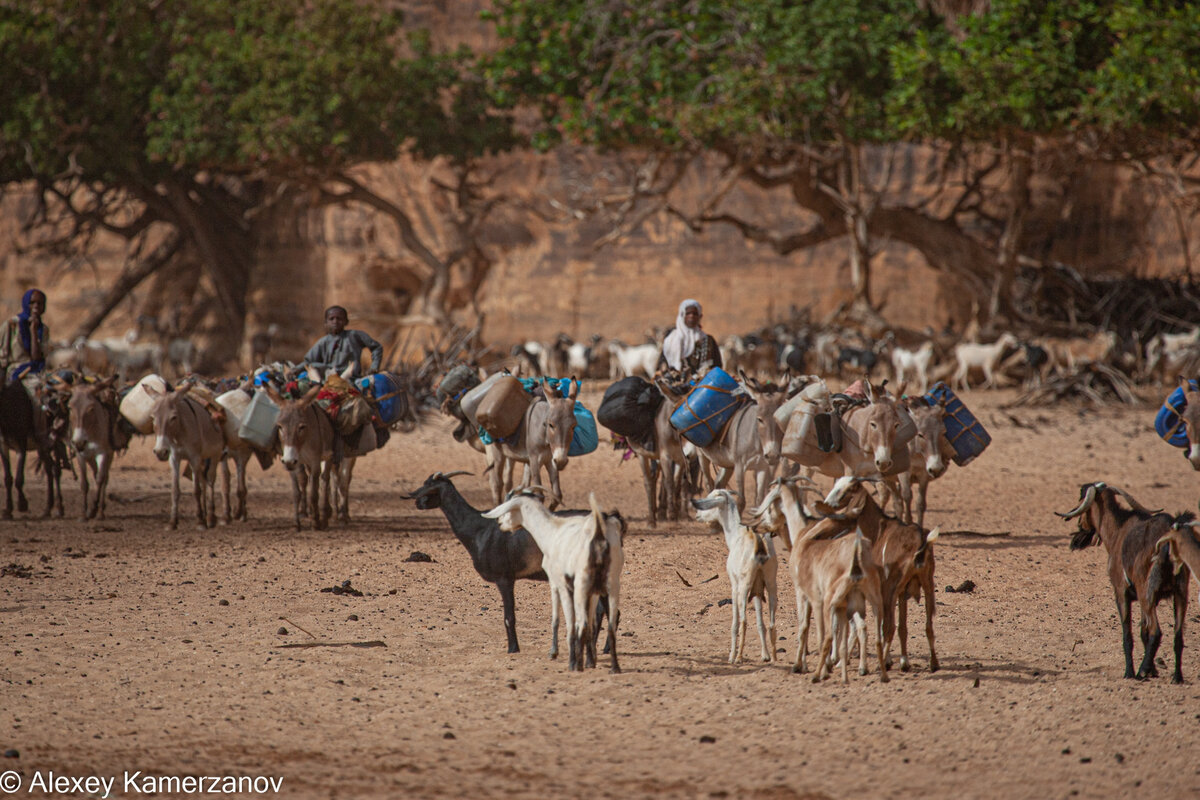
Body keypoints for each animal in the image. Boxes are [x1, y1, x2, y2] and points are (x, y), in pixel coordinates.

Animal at [408, 472, 549, 652]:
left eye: (428, 486)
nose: (417, 503)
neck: (479, 527)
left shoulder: (504, 578)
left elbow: (509, 617)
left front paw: (513, 649)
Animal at [482, 491, 624, 671]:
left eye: (510, 509)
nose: (500, 523)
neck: (552, 531)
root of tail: (598, 531)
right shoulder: (591, 592)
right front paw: (590, 661)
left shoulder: (558, 584)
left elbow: (562, 621)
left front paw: (559, 655)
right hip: (611, 585)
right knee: (609, 624)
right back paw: (614, 667)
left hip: (581, 586)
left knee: (582, 623)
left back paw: (575, 665)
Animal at [696, 489, 777, 662]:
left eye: (711, 498)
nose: (698, 515)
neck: (735, 535)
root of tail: (758, 541)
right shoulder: (758, 589)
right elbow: (760, 622)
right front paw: (765, 655)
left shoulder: (734, 585)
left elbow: (735, 623)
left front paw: (731, 655)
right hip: (771, 584)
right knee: (772, 621)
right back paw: (773, 657)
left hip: (744, 587)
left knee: (743, 621)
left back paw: (738, 657)